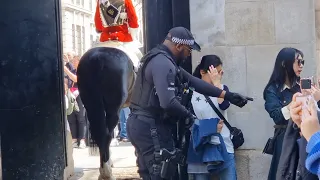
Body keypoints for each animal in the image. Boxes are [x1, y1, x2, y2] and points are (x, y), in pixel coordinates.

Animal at [77, 46, 136, 180]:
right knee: (107, 135)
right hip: (112, 110)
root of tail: (98, 59)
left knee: (100, 135)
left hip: (92, 105)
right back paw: (107, 172)